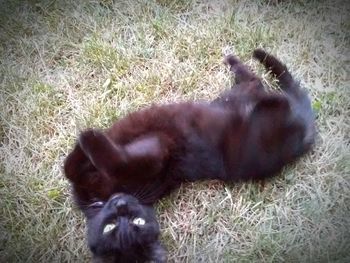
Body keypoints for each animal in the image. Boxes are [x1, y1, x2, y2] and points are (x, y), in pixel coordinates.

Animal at [64, 49, 316, 262]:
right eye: (112, 227)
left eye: (136, 221)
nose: (120, 204)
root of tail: (304, 132)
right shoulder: (154, 154)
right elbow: (102, 167)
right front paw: (85, 146)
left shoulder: (153, 151)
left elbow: (81, 167)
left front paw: (82, 145)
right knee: (261, 86)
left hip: (237, 102)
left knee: (261, 86)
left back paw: (241, 62)